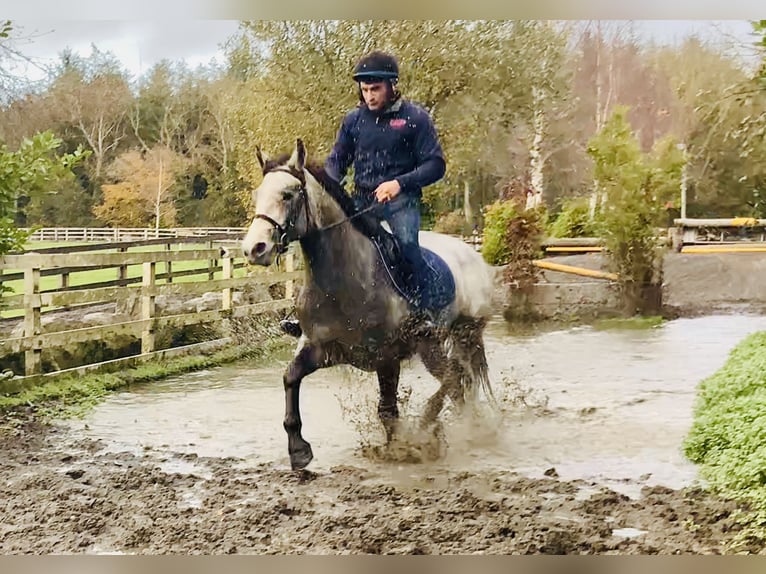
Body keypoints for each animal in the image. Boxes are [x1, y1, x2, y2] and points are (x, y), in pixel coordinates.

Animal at [241, 139, 496, 470]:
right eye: (258, 195)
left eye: (287, 194)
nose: (254, 249)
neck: (345, 281)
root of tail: (473, 255)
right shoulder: (318, 347)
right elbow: (290, 378)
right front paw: (298, 450)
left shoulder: (386, 357)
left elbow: (387, 410)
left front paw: (400, 450)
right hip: (434, 345)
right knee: (457, 380)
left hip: (455, 337)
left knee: (455, 377)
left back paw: (429, 424)